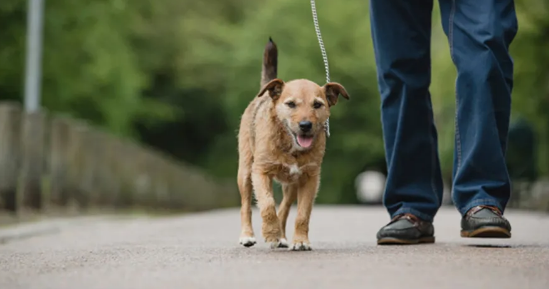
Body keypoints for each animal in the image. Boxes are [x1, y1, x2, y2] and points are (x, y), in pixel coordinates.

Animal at [234, 37, 346, 250]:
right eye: (291, 104)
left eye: (317, 105)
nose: (305, 125)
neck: (291, 147)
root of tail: (263, 95)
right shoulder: (260, 172)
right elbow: (267, 204)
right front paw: (270, 233)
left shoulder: (310, 179)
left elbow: (302, 214)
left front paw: (300, 240)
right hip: (245, 172)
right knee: (246, 205)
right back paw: (247, 235)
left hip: (292, 185)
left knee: (284, 208)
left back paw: (282, 236)